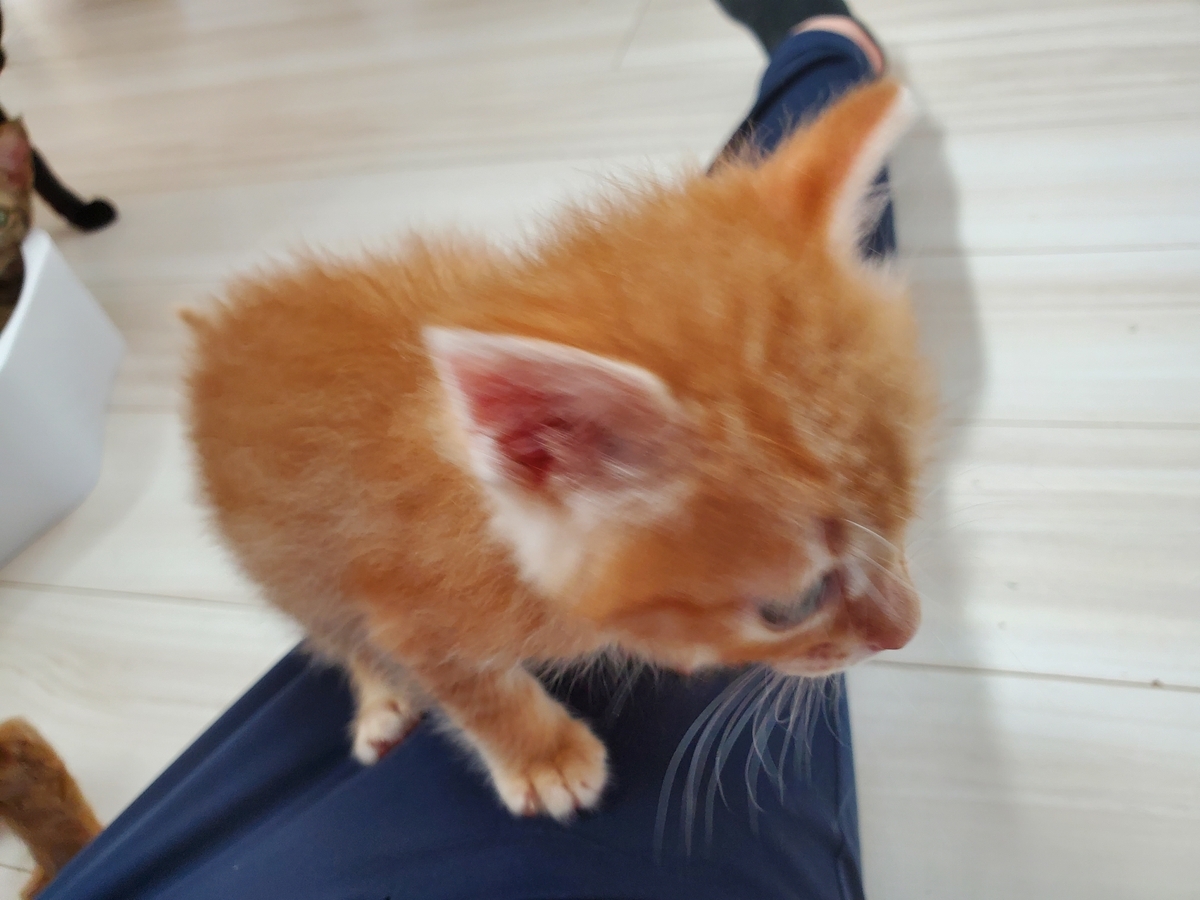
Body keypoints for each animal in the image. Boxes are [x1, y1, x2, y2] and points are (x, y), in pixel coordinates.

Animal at [185, 78, 931, 821]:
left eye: (903, 525)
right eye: (793, 606)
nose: (906, 633)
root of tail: (216, 333)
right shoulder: (412, 616)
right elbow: (473, 686)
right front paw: (542, 759)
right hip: (287, 568)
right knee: (338, 636)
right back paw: (381, 699)